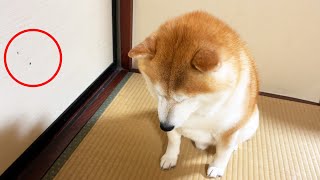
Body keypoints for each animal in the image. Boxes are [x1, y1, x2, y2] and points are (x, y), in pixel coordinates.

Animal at [128, 10, 260, 177]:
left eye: (183, 99)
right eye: (159, 94)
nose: (164, 126)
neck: (201, 111)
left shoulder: (229, 130)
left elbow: (223, 152)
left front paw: (217, 167)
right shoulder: (173, 124)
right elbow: (173, 141)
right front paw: (170, 157)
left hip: (253, 122)